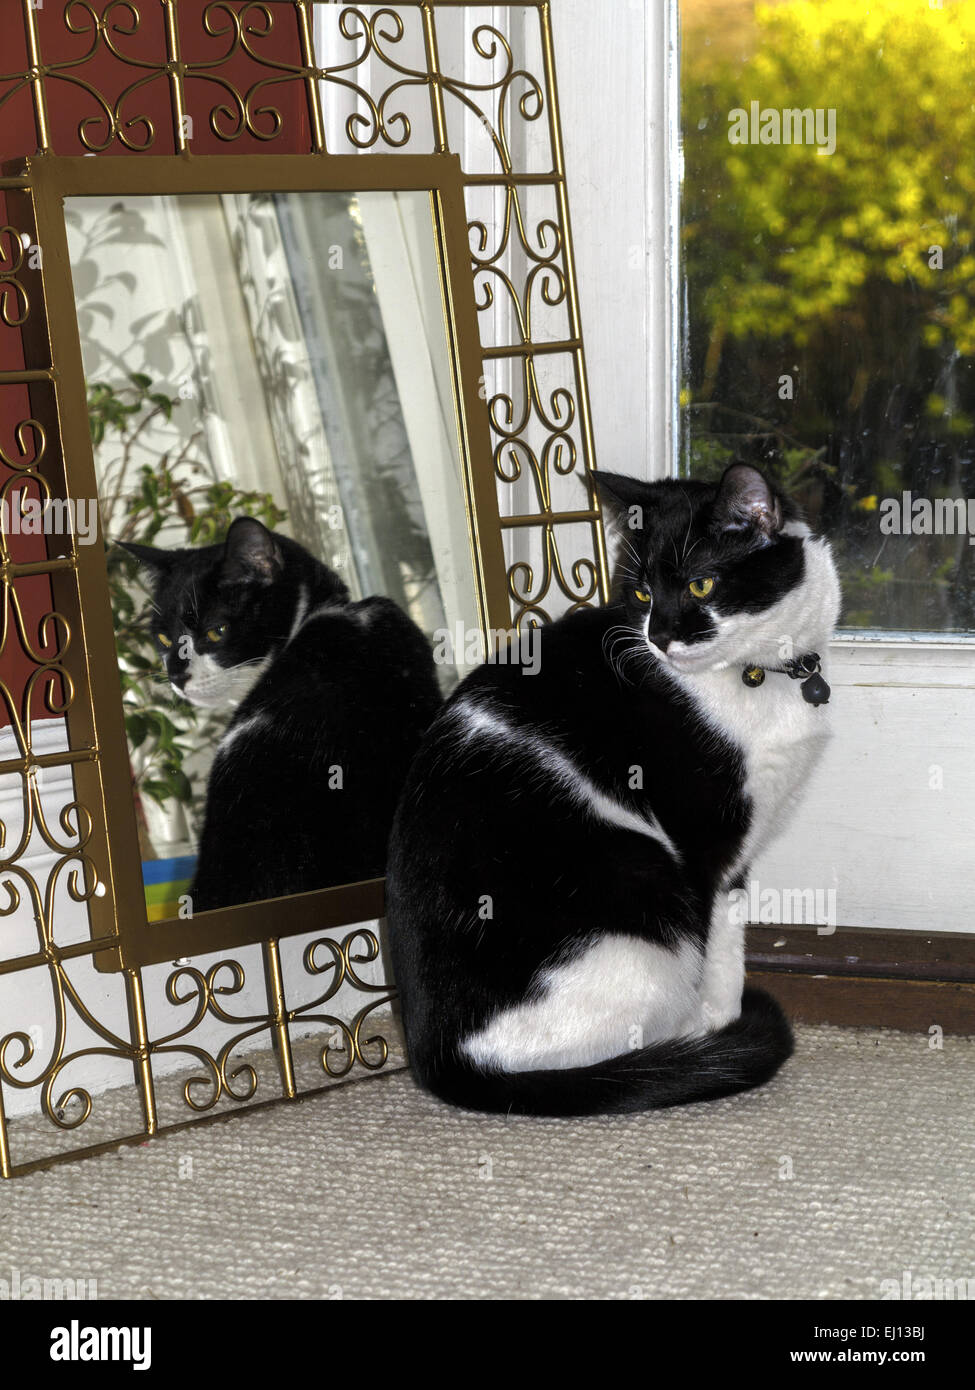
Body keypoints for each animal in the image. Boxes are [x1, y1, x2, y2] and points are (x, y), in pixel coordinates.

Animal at [383, 461, 840, 1112]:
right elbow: (719, 957)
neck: (757, 673)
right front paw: (720, 1030)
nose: (661, 637)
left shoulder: (738, 862)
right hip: (644, 890)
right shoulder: (706, 850)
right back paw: (687, 1054)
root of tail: (442, 1059)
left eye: (701, 585)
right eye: (643, 593)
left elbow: (731, 941)